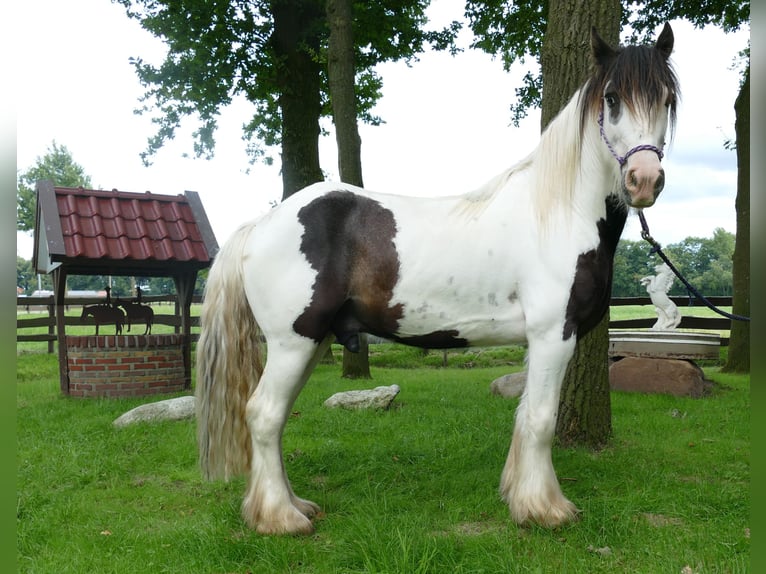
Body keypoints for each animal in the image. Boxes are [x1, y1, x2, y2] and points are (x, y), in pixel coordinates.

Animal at [198, 22, 684, 536]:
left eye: (667, 99)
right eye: (612, 98)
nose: (644, 180)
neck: (556, 211)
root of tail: (261, 224)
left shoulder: (540, 339)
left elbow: (524, 416)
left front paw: (520, 496)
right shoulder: (554, 333)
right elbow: (541, 420)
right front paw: (546, 509)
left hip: (310, 343)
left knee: (276, 417)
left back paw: (294, 505)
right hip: (294, 341)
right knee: (264, 415)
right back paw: (281, 518)